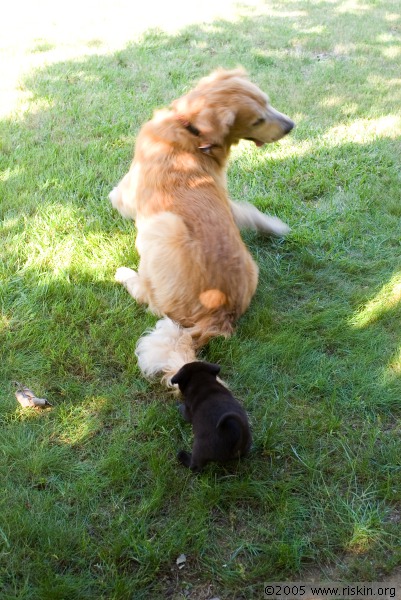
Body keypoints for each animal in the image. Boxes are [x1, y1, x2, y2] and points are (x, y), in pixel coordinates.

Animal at [110, 68, 294, 383]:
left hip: (161, 229)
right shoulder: (222, 193)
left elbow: (115, 197)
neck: (190, 129)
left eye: (268, 105)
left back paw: (124, 274)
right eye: (259, 118)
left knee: (149, 298)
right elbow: (244, 209)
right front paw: (273, 226)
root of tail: (219, 317)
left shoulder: (126, 194)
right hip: (250, 265)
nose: (291, 126)